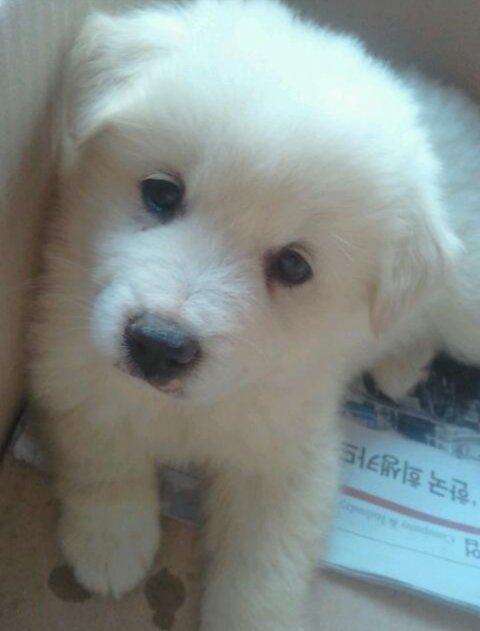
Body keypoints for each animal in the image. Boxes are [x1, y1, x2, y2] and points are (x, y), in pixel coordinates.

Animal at [30, 0, 480, 628]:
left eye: (292, 266)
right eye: (161, 193)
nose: (158, 344)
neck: (187, 409)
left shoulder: (288, 457)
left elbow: (265, 567)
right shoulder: (72, 363)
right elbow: (103, 455)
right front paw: (110, 542)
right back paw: (400, 367)